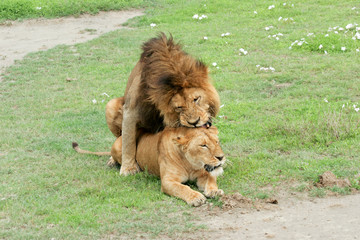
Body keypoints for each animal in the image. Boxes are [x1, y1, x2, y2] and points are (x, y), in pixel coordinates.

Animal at [73, 125, 225, 206]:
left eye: (217, 142)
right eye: (203, 145)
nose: (221, 157)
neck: (190, 164)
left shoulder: (203, 173)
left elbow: (211, 180)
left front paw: (214, 191)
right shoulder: (168, 181)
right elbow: (183, 188)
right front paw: (196, 197)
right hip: (119, 147)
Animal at [107, 32, 219, 175]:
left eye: (196, 99)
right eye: (179, 107)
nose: (194, 123)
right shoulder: (130, 110)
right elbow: (128, 142)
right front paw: (128, 168)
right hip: (110, 105)